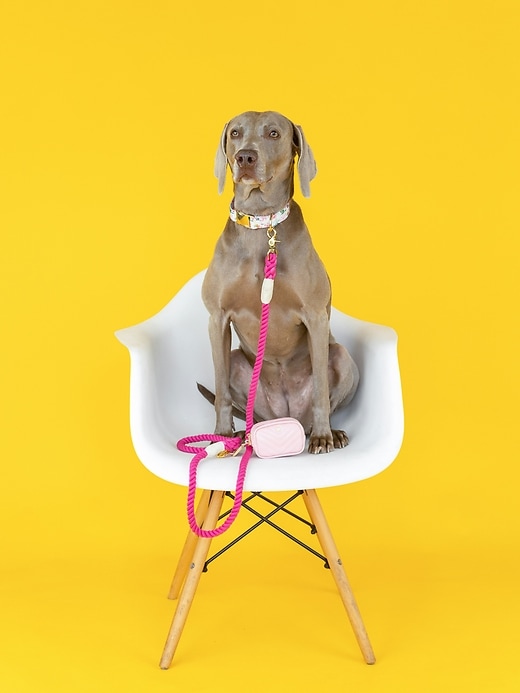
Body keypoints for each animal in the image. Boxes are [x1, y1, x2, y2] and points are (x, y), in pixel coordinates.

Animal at [201, 111, 359, 454]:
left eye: (273, 133)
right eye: (235, 133)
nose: (245, 156)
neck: (262, 224)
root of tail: (289, 419)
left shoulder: (315, 316)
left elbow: (321, 390)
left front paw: (324, 437)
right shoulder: (217, 318)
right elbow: (220, 392)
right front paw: (221, 435)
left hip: (341, 356)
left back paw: (329, 432)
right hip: (239, 366)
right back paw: (242, 436)